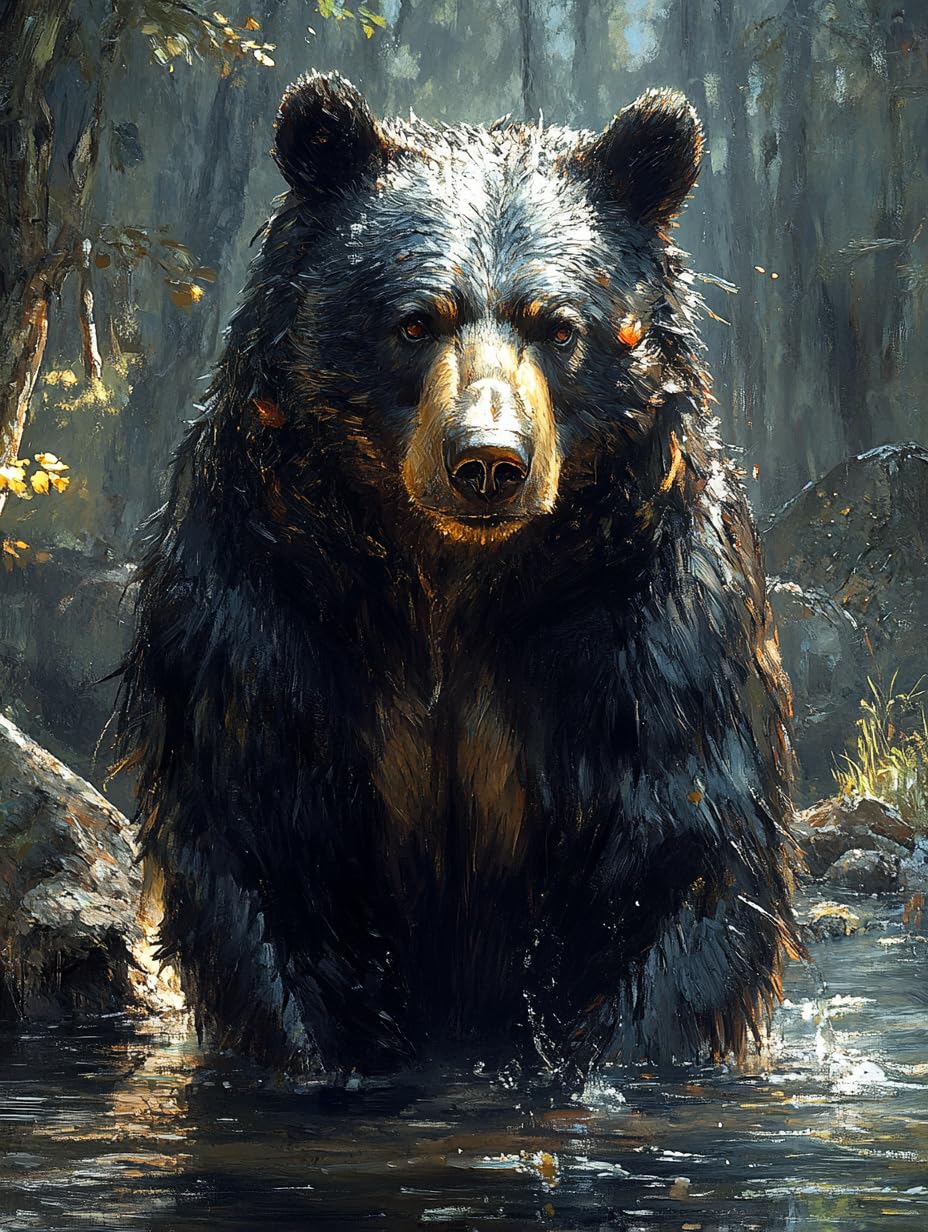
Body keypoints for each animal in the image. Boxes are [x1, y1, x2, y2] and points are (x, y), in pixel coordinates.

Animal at [118, 71, 801, 1082]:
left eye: (558, 326)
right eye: (415, 320)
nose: (488, 460)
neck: (454, 584)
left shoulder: (645, 626)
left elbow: (682, 849)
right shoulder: (267, 607)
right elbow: (259, 838)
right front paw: (327, 1062)